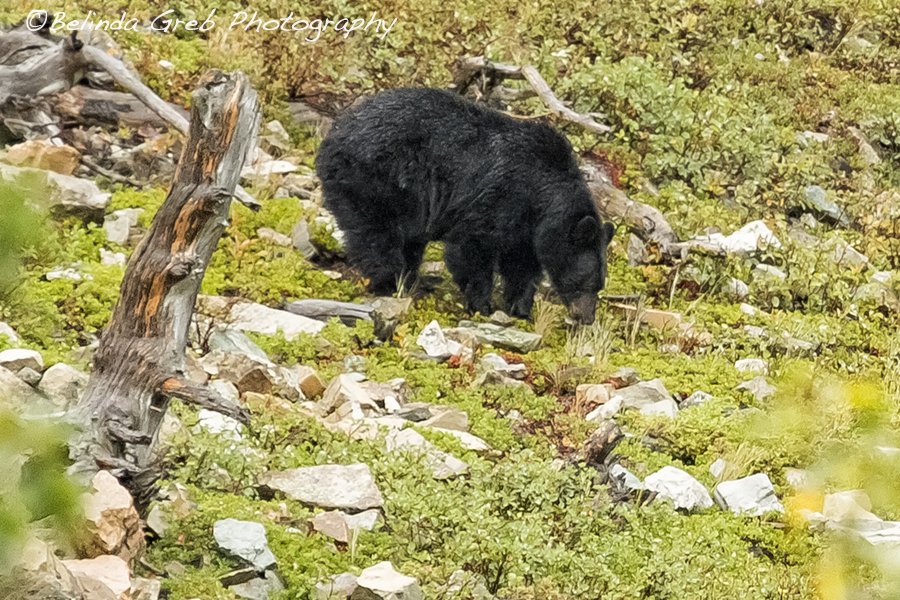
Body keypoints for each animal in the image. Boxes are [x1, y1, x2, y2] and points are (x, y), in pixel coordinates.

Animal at [315, 87, 614, 324]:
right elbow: (473, 247)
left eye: (599, 285)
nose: (586, 317)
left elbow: (521, 265)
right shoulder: (499, 197)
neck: (542, 191)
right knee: (377, 236)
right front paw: (482, 303)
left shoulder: (526, 227)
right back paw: (390, 281)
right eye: (585, 282)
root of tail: (332, 135)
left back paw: (410, 280)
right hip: (376, 181)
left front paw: (521, 308)